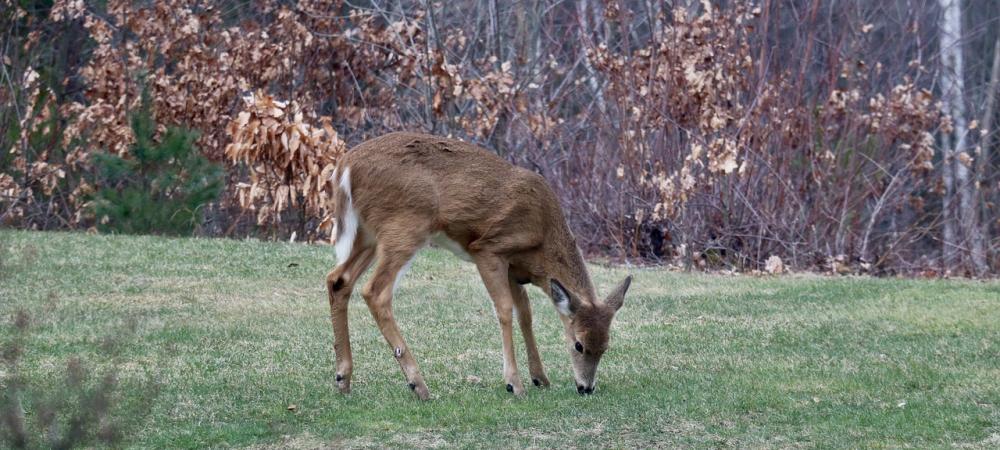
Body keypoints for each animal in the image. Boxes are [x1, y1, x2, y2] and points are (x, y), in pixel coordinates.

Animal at [324, 132, 628, 400]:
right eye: (578, 344)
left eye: (606, 346)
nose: (586, 388)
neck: (542, 238)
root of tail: (345, 166)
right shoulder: (489, 249)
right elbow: (505, 309)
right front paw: (514, 383)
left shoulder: (514, 269)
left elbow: (525, 313)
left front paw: (540, 377)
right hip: (406, 226)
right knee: (375, 291)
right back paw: (418, 385)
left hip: (369, 233)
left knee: (338, 280)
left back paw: (343, 379)